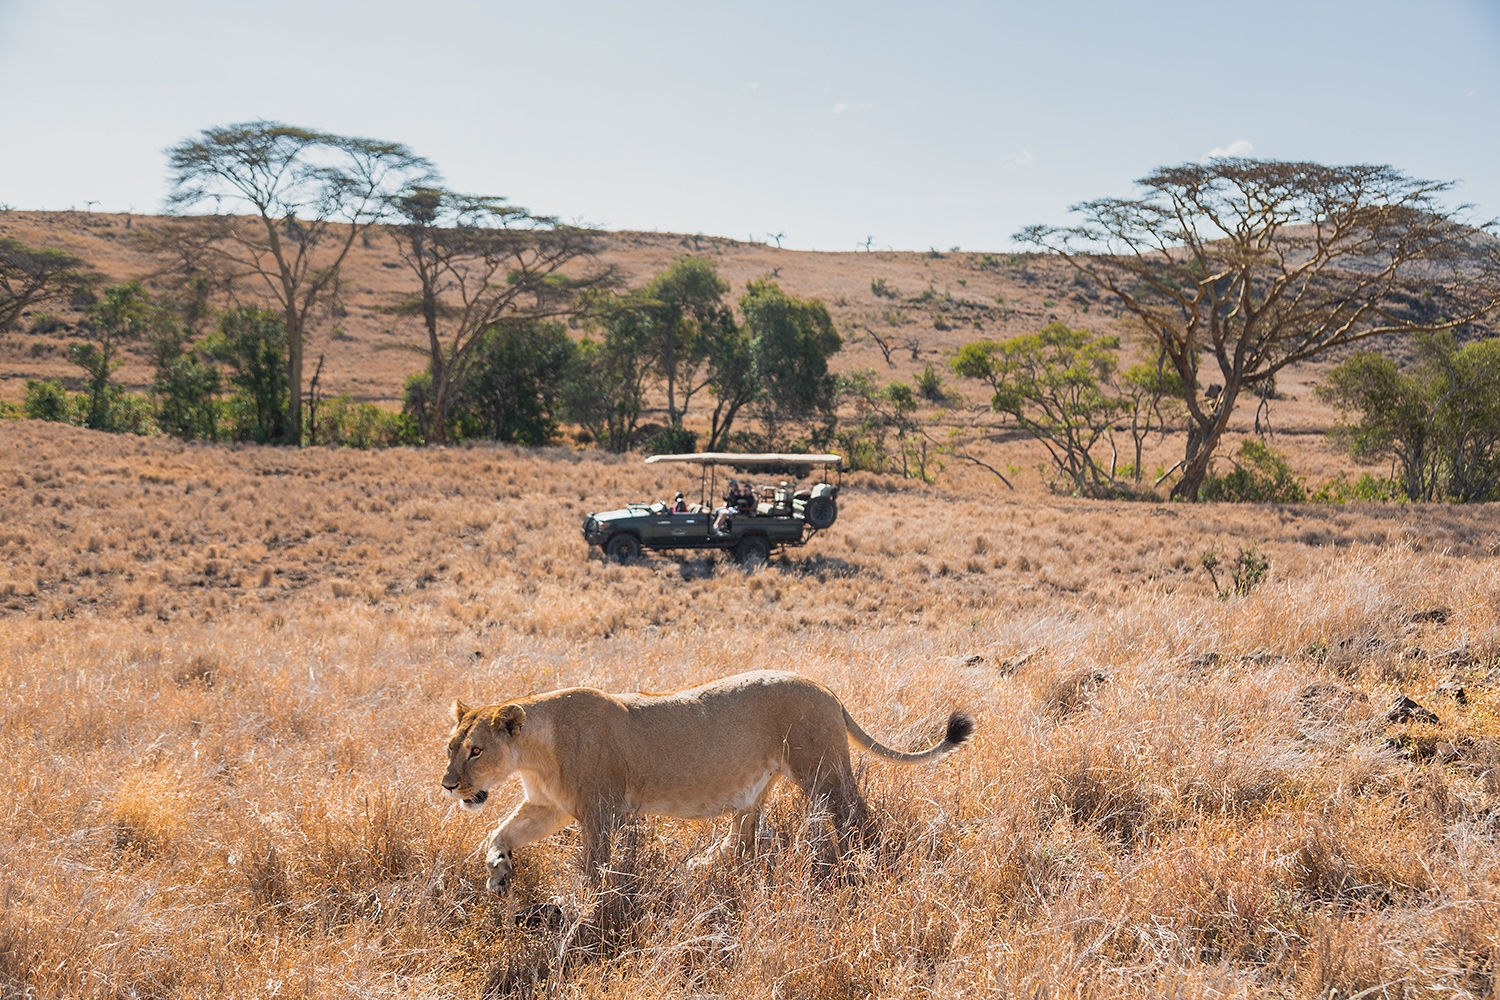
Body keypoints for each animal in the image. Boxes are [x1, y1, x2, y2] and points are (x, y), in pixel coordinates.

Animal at [442, 669, 974, 892]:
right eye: (451, 748)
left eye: (476, 750)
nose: (449, 786)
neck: (533, 755)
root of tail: (824, 687)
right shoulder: (546, 806)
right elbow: (499, 833)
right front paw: (498, 872)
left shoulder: (602, 812)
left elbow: (597, 867)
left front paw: (582, 907)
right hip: (756, 787)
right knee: (744, 837)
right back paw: (698, 867)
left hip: (821, 770)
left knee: (855, 814)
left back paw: (866, 862)